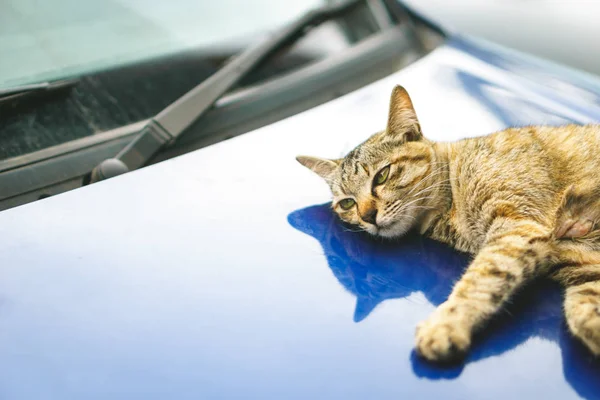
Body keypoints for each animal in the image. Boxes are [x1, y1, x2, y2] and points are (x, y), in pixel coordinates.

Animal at [298, 86, 600, 364]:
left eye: (382, 176)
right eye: (347, 203)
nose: (368, 216)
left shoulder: (517, 226)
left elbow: (480, 279)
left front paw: (447, 322)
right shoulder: (583, 267)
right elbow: (583, 311)